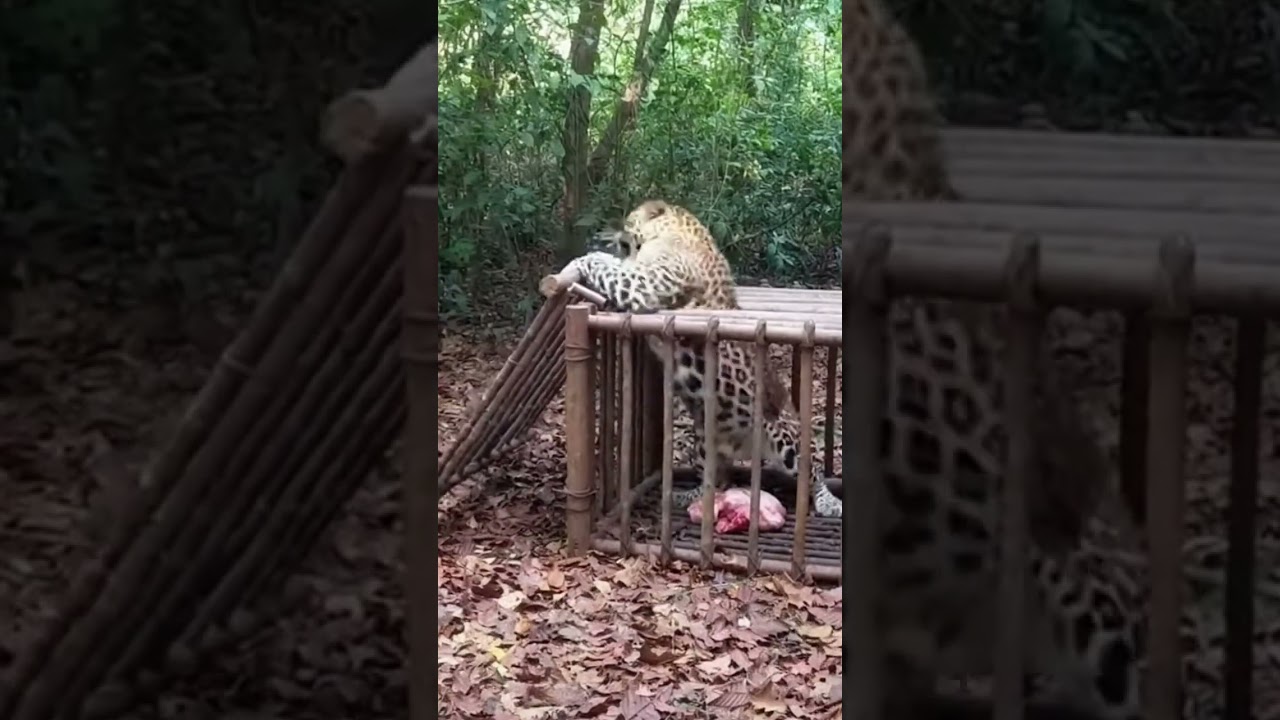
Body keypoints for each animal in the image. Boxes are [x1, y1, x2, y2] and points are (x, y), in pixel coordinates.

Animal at [559, 199, 845, 520]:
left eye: (629, 219)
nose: (616, 232)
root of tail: (748, 452)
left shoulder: (645, 282)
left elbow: (605, 266)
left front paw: (583, 259)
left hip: (784, 435)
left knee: (812, 471)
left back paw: (829, 502)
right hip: (705, 440)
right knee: (717, 482)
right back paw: (685, 498)